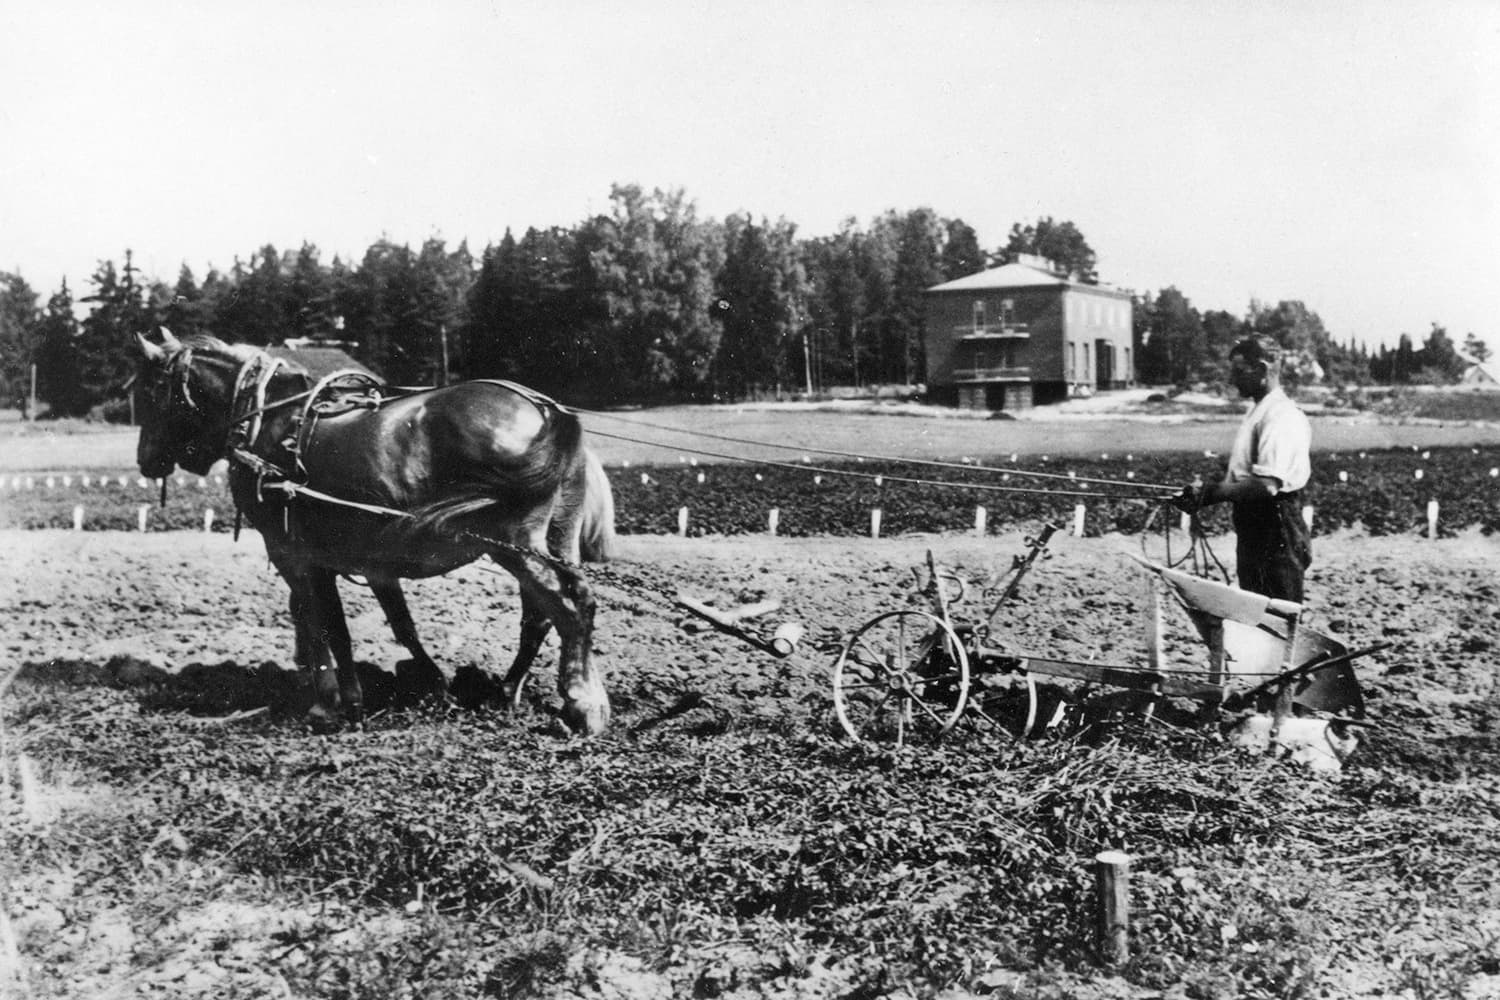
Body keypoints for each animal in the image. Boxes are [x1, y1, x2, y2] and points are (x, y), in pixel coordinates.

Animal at [133, 329, 615, 734]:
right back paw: (513, 691)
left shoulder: (297, 554)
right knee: (556, 610)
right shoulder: (373, 561)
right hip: (556, 538)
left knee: (566, 610)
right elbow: (398, 626)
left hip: (515, 544)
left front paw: (333, 702)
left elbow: (325, 625)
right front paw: (434, 685)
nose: (145, 460)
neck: (270, 425)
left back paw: (581, 703)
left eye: (152, 393)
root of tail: (546, 410)